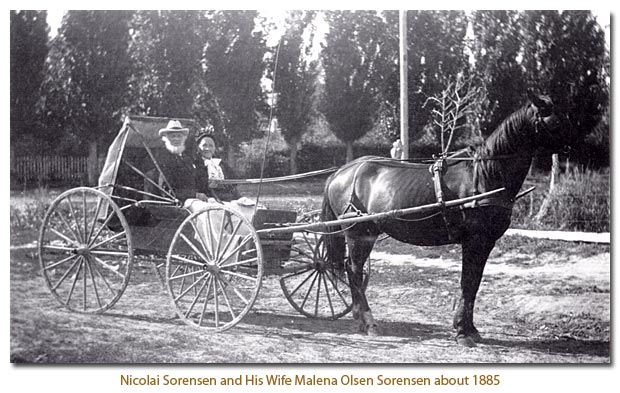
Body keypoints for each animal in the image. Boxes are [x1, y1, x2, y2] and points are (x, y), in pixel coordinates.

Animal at [322, 92, 568, 346]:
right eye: (556, 122)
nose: (575, 149)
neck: (484, 174)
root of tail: (341, 172)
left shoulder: (486, 243)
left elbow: (473, 284)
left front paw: (469, 328)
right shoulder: (475, 241)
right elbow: (468, 283)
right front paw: (462, 331)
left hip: (366, 234)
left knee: (353, 271)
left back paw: (360, 319)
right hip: (358, 233)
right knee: (354, 271)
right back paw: (368, 321)